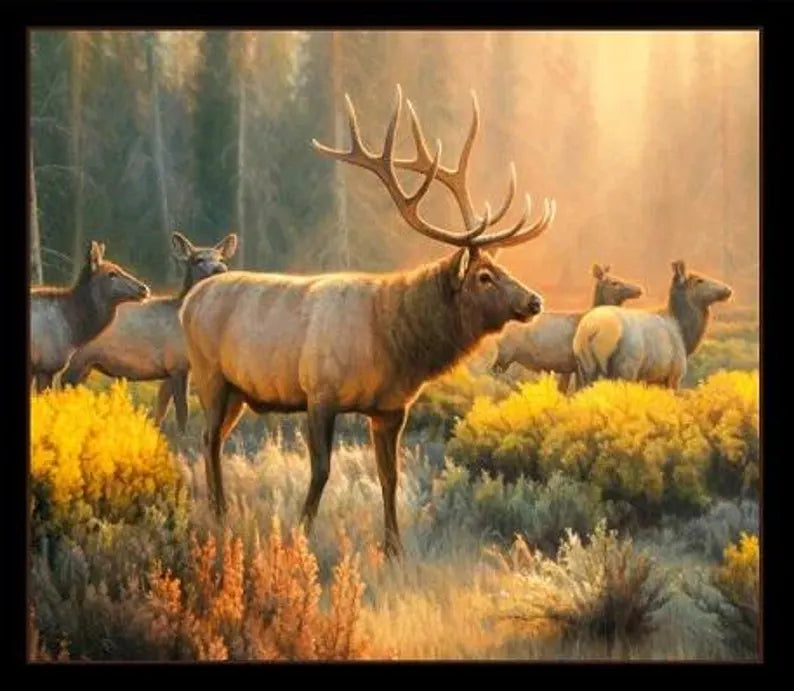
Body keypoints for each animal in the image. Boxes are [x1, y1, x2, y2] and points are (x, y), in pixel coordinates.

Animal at [60, 232, 238, 433]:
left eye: (221, 258)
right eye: (198, 259)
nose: (220, 269)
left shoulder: (170, 370)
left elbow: (161, 411)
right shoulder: (177, 363)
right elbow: (182, 413)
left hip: (87, 364)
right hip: (78, 358)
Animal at [179, 85, 556, 558]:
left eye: (501, 268)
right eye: (484, 276)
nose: (534, 301)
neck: (395, 343)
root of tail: (187, 303)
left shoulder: (392, 409)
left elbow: (389, 477)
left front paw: (394, 549)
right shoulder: (319, 392)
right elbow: (321, 470)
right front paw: (301, 534)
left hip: (238, 392)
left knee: (215, 438)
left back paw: (221, 509)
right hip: (209, 375)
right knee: (207, 439)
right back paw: (219, 513)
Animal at [490, 263, 643, 393]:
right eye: (614, 282)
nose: (639, 289)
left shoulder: (568, 367)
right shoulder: (578, 363)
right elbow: (579, 389)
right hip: (505, 354)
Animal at [573, 260, 732, 390]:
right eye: (699, 280)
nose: (728, 289)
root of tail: (591, 330)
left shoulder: (649, 379)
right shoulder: (674, 376)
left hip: (585, 368)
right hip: (625, 369)